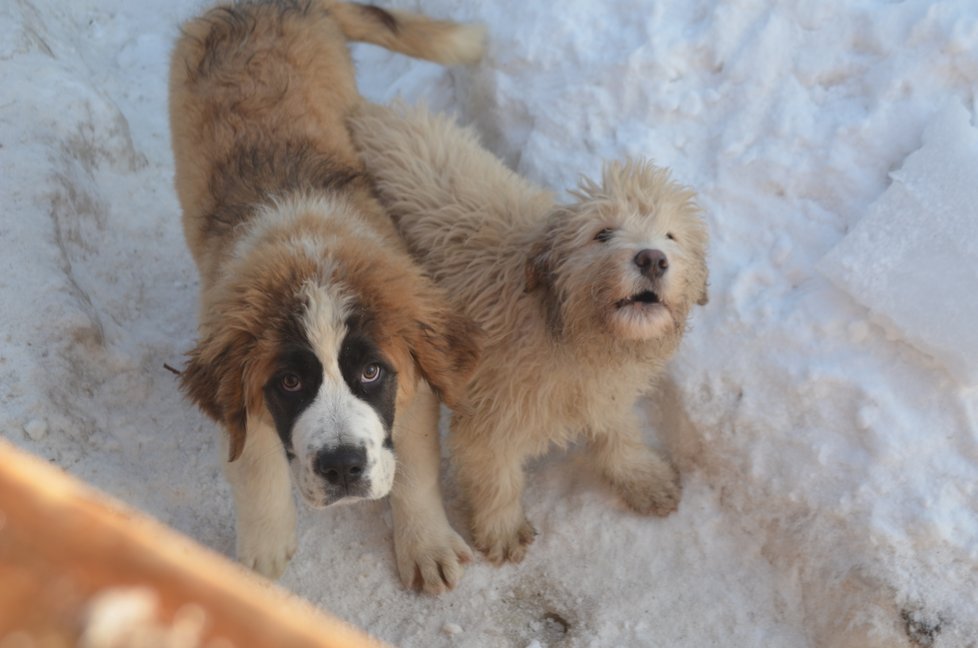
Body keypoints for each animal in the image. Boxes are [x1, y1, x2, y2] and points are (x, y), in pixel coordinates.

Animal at [173, 2, 488, 596]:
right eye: (291, 383)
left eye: (370, 372)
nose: (342, 467)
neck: (309, 244)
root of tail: (262, 5)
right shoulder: (240, 400)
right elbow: (255, 469)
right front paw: (260, 558)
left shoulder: (414, 389)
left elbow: (414, 470)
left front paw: (426, 545)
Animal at [350, 104, 708, 564]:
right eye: (602, 233)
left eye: (670, 234)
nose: (652, 259)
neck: (564, 330)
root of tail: (378, 110)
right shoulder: (489, 408)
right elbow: (495, 475)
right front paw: (502, 528)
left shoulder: (604, 391)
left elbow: (620, 433)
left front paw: (642, 476)